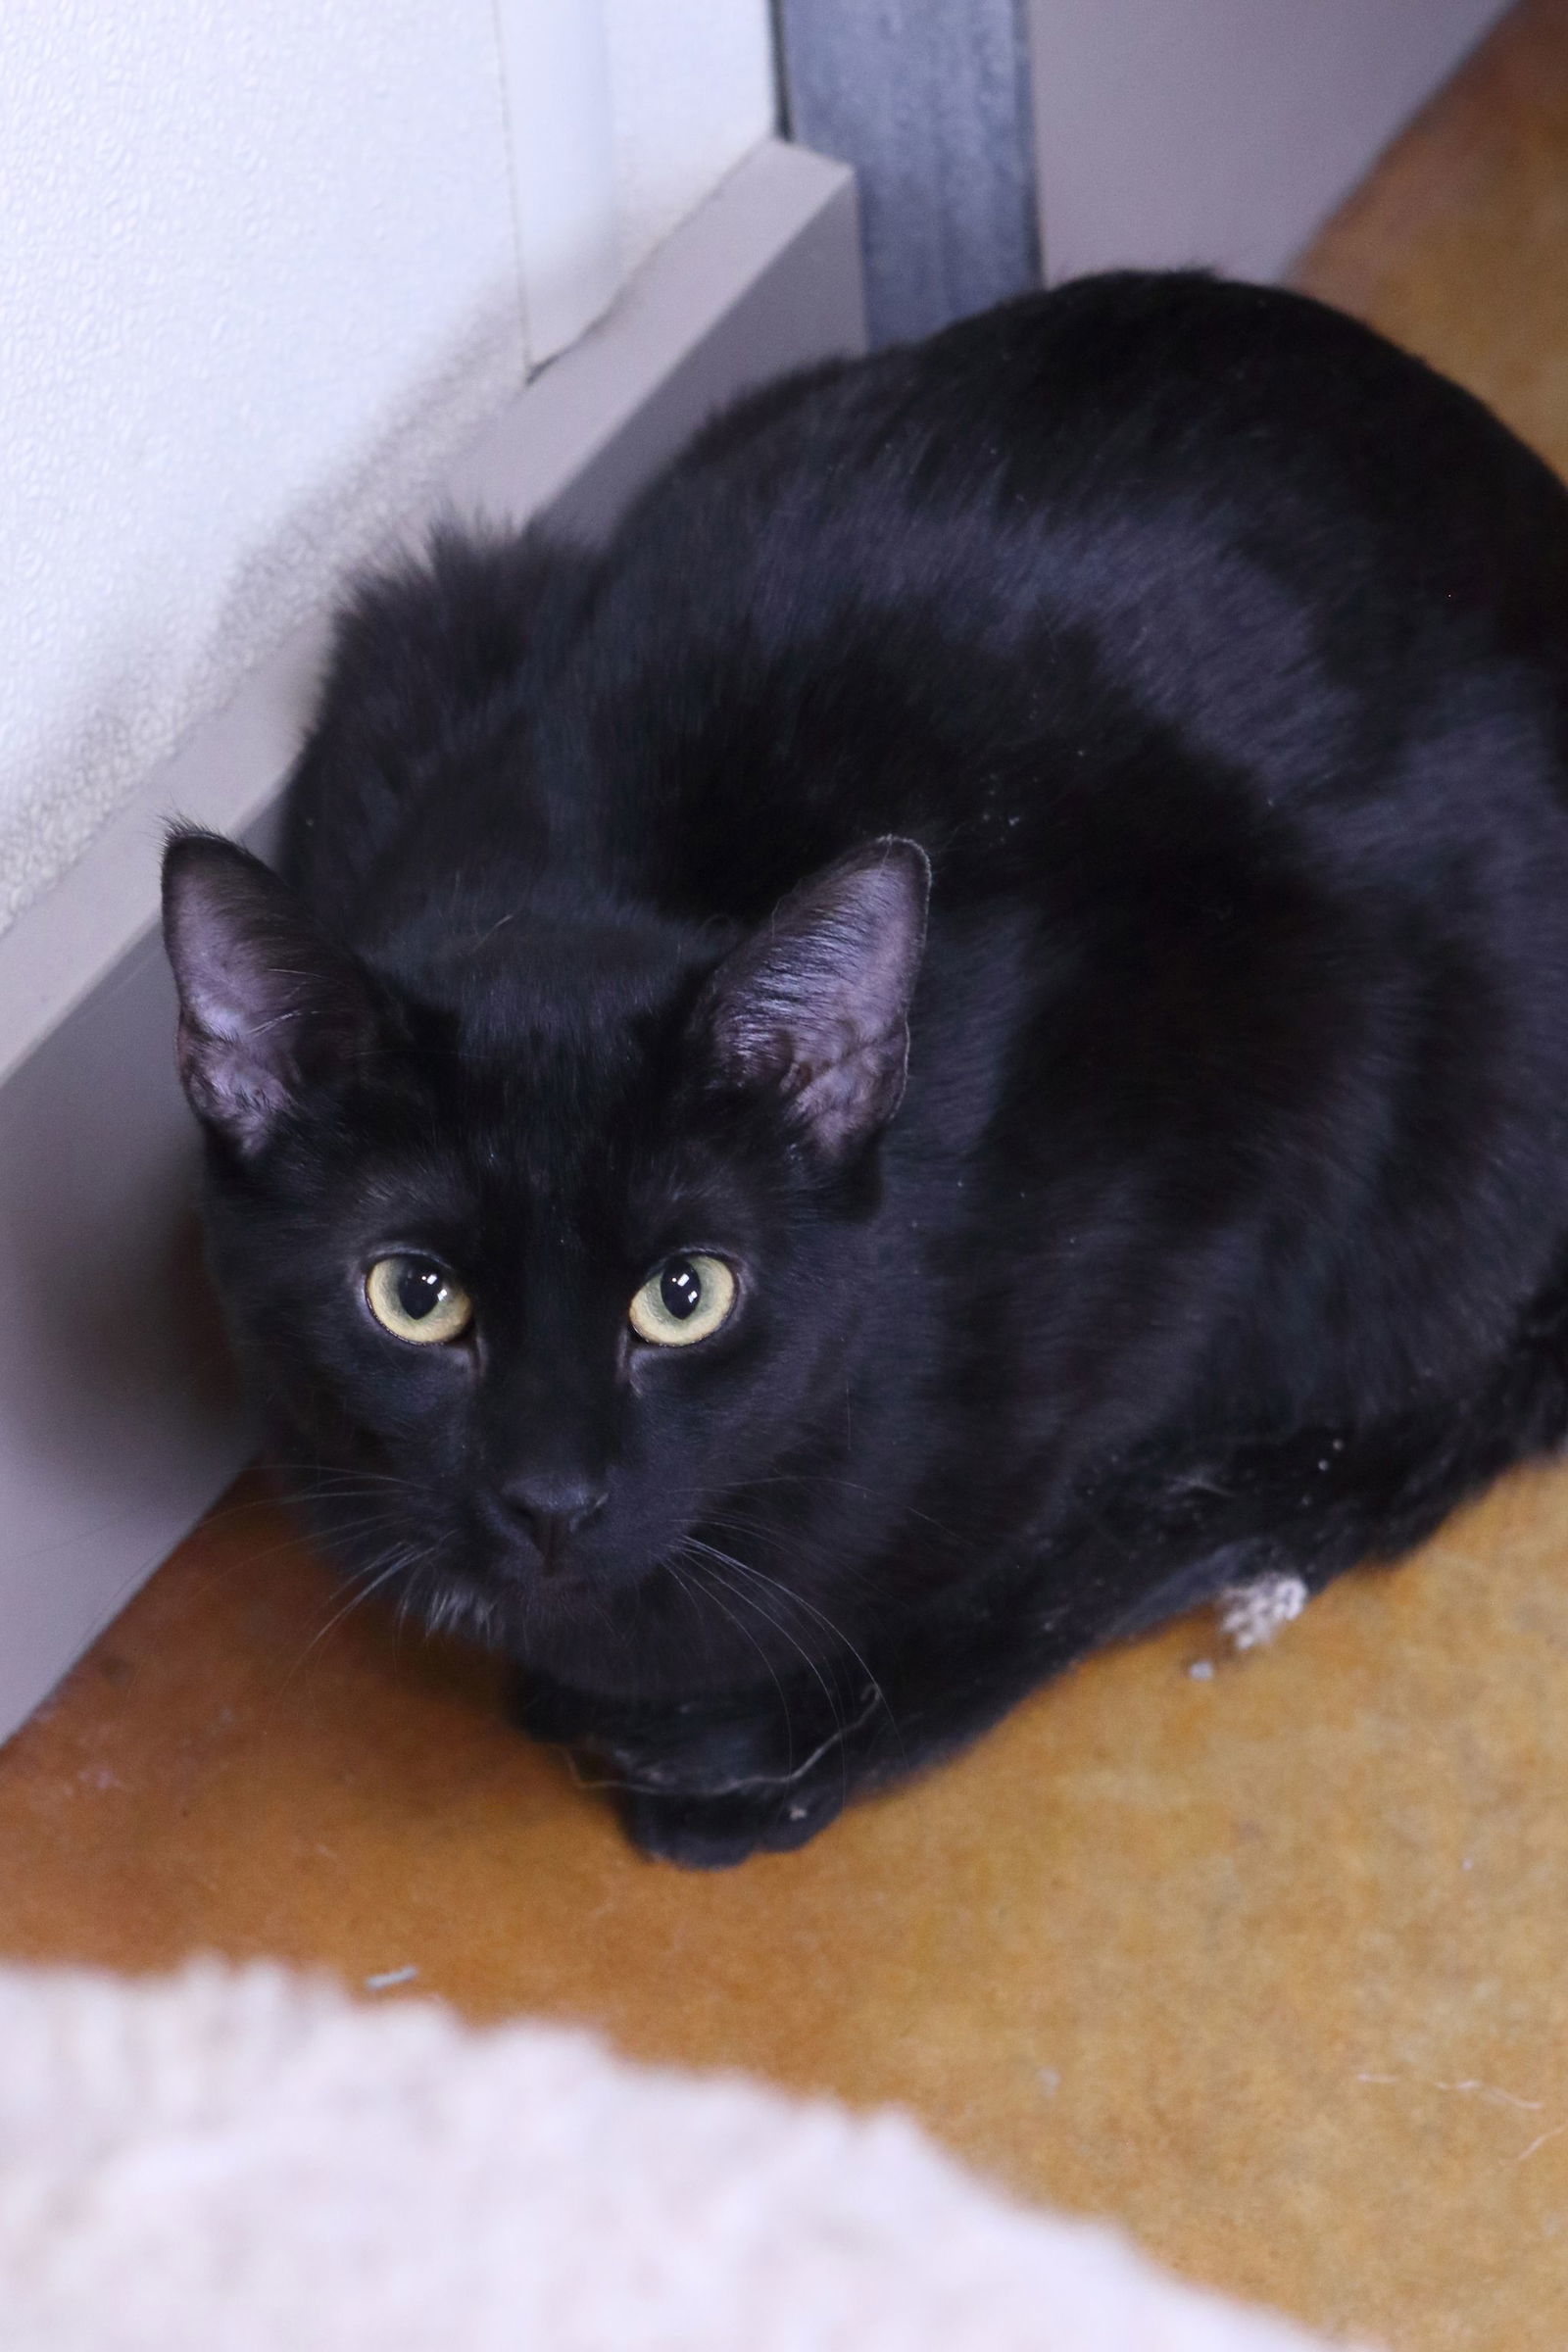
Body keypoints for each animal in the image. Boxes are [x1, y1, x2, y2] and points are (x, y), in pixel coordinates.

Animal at [166, 274, 1568, 1862]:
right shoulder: (418, 634)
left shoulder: (1260, 1097)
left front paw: (776, 1727)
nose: (550, 1496)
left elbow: (1069, 1526)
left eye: (687, 1296)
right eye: (413, 1296)